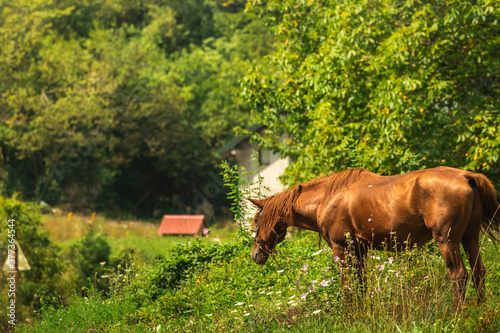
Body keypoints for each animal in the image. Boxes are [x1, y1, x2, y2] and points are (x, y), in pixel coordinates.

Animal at [249, 166, 500, 300]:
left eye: (256, 220)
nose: (256, 255)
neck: (326, 198)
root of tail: (466, 176)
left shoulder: (341, 248)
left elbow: (347, 285)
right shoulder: (359, 250)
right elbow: (361, 284)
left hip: (447, 241)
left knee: (459, 275)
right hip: (470, 238)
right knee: (478, 272)